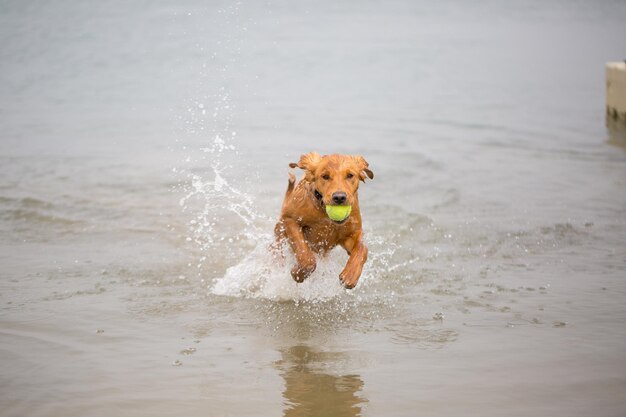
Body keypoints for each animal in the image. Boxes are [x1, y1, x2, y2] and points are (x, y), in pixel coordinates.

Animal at [272, 151, 370, 288]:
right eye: (325, 176)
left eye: (350, 175)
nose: (339, 197)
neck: (324, 213)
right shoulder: (291, 220)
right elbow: (306, 257)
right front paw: (298, 273)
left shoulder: (351, 234)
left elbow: (362, 248)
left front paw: (350, 275)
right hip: (280, 234)